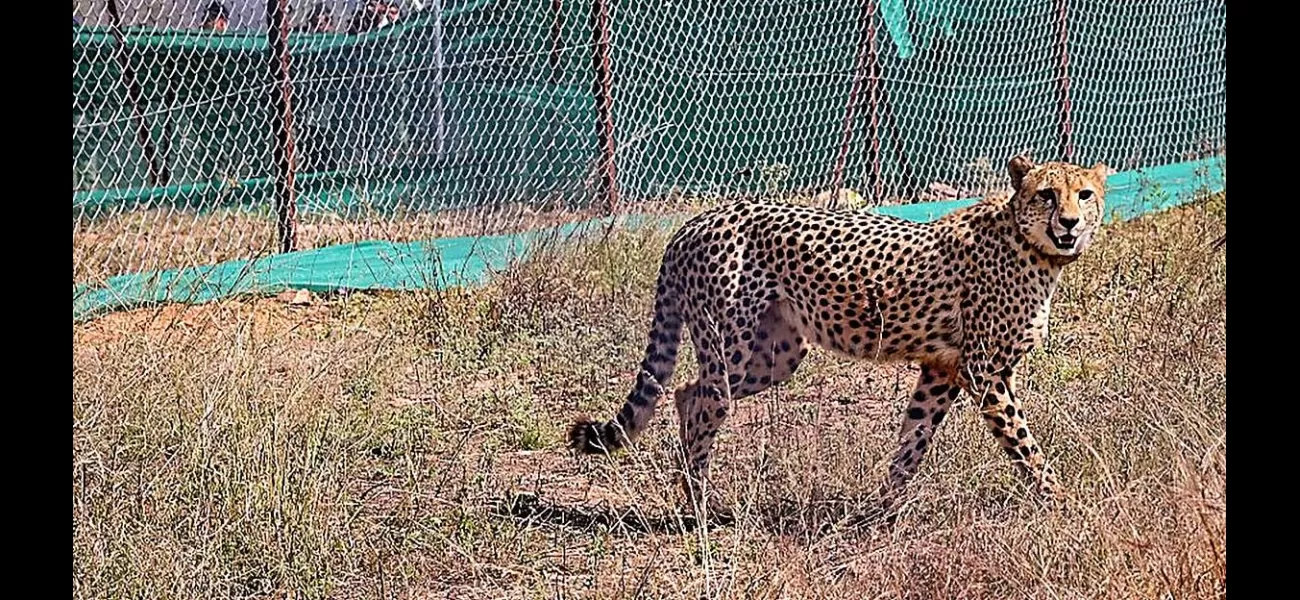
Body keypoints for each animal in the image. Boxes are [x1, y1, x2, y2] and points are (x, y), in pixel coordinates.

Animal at [569, 157, 1107, 516]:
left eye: (1084, 195)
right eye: (1046, 194)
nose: (1069, 222)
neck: (1031, 245)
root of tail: (693, 223)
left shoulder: (942, 369)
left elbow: (913, 440)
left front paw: (882, 511)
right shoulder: (984, 372)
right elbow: (1024, 444)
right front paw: (1063, 502)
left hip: (776, 356)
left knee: (685, 392)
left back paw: (693, 493)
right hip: (732, 346)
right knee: (704, 401)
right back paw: (701, 509)